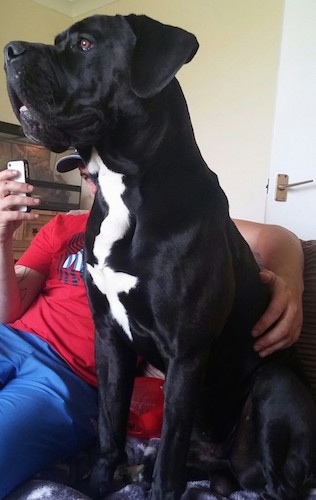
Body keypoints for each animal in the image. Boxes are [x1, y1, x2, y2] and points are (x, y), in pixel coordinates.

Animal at [3, 13, 316, 498]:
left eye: (86, 44)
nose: (10, 50)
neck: (123, 187)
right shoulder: (109, 339)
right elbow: (109, 429)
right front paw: (99, 483)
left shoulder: (186, 353)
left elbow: (168, 451)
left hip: (273, 384)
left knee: (272, 483)